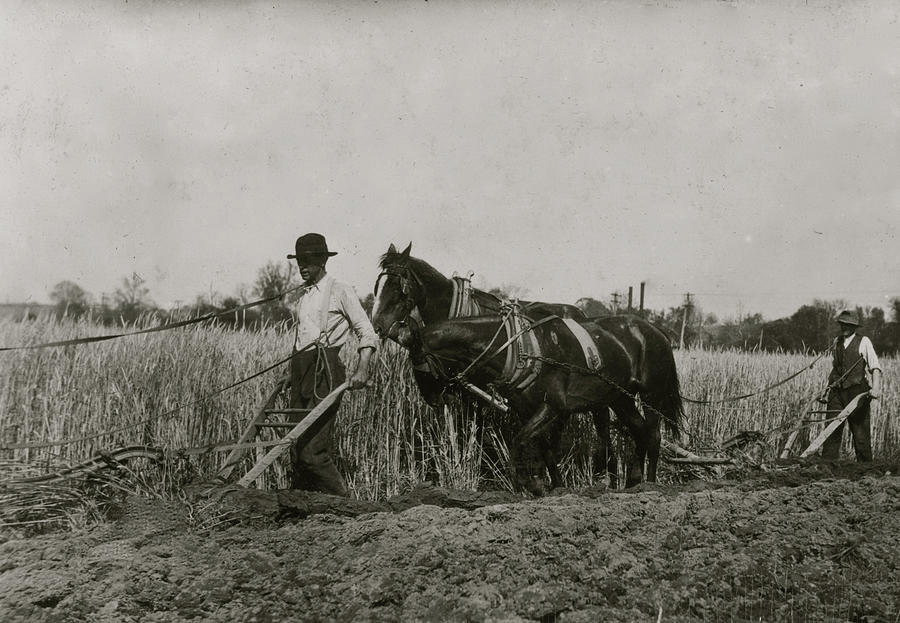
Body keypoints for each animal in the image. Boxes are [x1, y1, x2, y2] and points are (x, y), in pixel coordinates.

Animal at [418, 312, 684, 492]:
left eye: (419, 363)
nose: (433, 400)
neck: (521, 347)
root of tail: (657, 331)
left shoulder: (553, 405)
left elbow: (520, 440)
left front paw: (528, 483)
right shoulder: (526, 410)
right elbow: (543, 447)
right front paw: (555, 486)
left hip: (651, 395)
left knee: (653, 435)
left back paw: (650, 485)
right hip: (620, 398)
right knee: (639, 430)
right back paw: (634, 483)